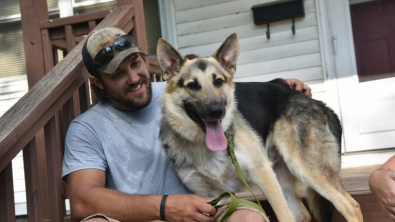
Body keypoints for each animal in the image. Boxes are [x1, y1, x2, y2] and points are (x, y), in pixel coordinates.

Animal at [156, 33, 364, 222]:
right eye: (192, 85)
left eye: (218, 82)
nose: (217, 111)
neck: (204, 145)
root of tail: (317, 102)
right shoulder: (215, 199)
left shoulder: (263, 175)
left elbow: (283, 216)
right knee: (302, 214)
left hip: (305, 168)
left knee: (350, 206)